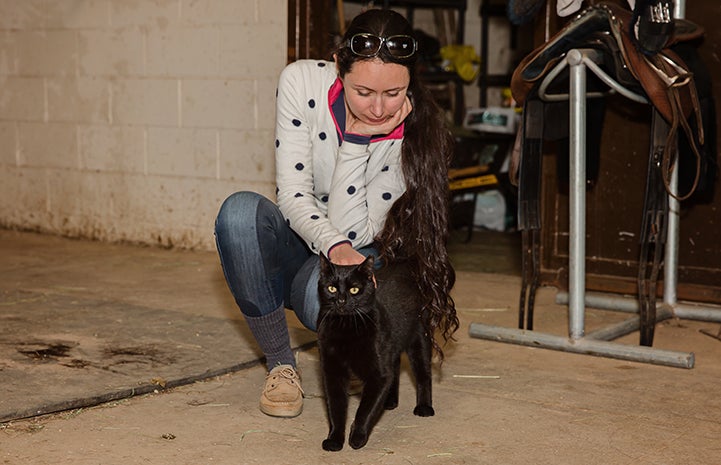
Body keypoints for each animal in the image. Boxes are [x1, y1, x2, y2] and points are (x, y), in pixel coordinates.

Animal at [316, 252, 434, 452]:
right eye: (331, 288)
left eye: (354, 290)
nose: (341, 300)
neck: (345, 331)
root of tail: (404, 262)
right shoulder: (332, 372)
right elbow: (335, 407)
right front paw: (334, 439)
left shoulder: (378, 375)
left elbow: (366, 409)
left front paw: (358, 436)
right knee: (395, 367)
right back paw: (390, 400)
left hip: (420, 339)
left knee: (423, 374)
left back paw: (424, 407)